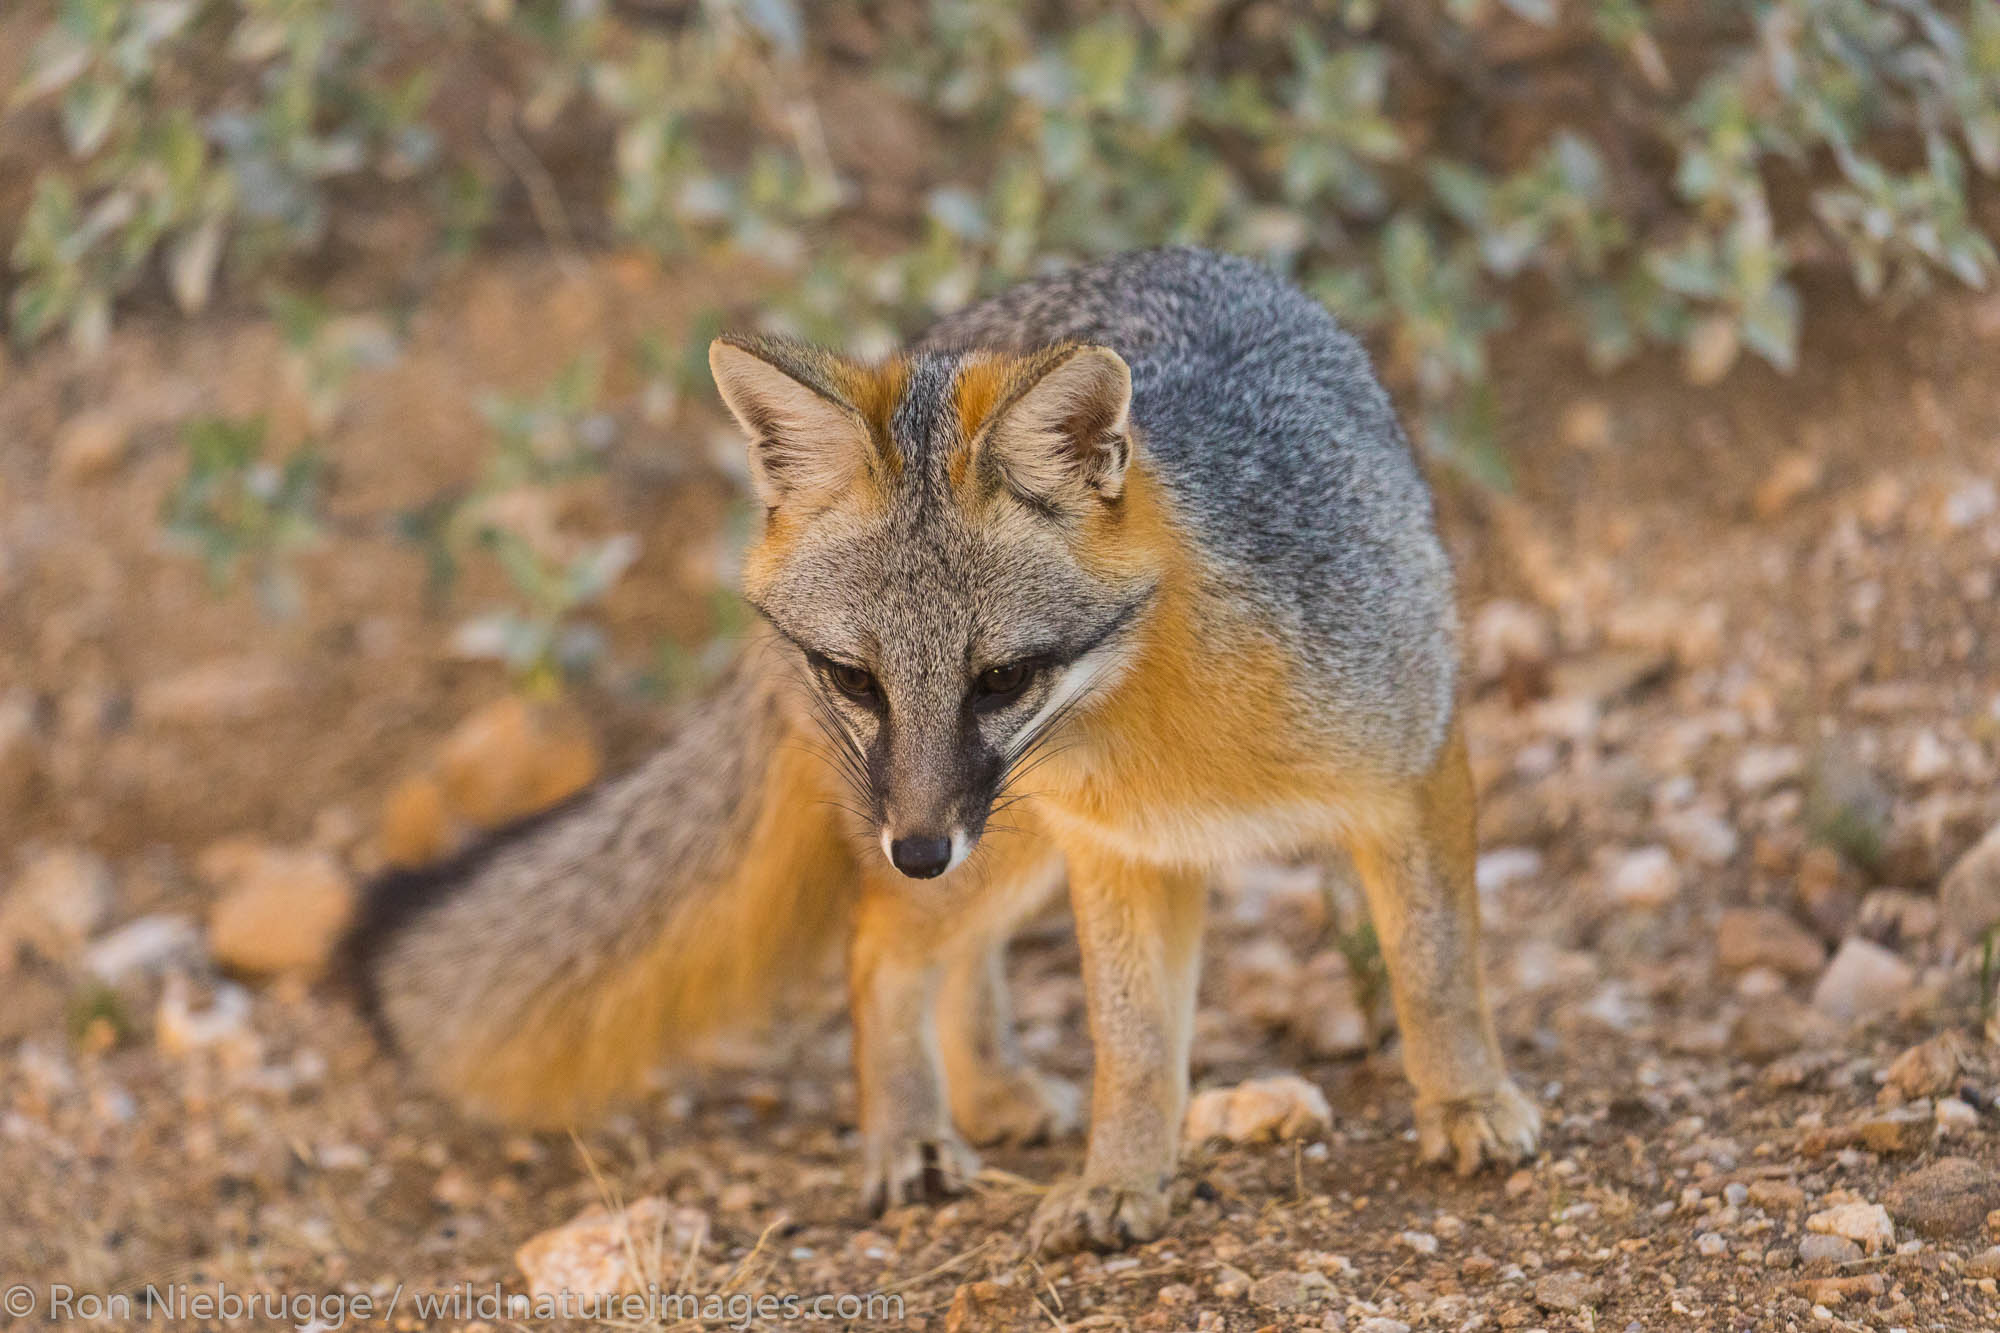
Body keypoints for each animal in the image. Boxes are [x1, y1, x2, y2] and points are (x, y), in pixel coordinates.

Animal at [356, 246, 1544, 1248]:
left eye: (1002, 678)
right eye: (855, 678)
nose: (916, 850)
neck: (1172, 719)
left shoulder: (1410, 768)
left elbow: (1433, 965)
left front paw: (1467, 1103)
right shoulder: (1121, 851)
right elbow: (1133, 1049)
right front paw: (1119, 1178)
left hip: (1002, 845)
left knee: (947, 950)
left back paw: (991, 1090)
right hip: (992, 844)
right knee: (880, 946)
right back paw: (914, 1130)